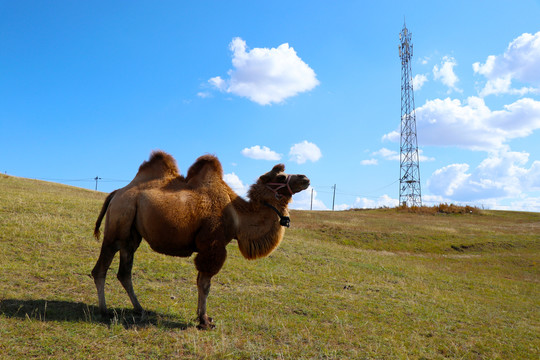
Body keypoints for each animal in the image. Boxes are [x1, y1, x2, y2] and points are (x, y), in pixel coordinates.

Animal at [91, 150, 310, 330]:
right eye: (281, 176)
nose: (305, 178)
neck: (238, 217)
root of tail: (116, 193)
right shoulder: (212, 245)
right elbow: (205, 284)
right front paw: (204, 321)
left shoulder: (208, 248)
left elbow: (199, 282)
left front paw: (202, 317)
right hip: (118, 224)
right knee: (100, 269)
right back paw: (105, 311)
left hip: (131, 236)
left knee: (124, 272)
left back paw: (140, 309)